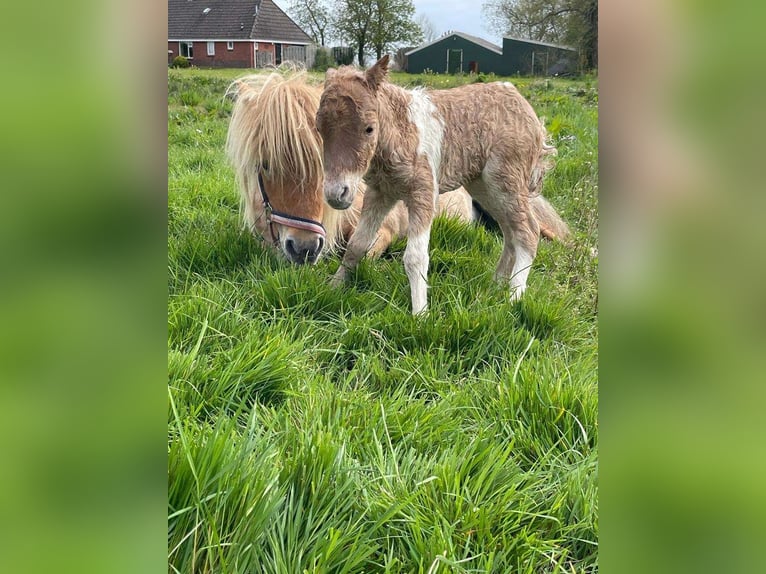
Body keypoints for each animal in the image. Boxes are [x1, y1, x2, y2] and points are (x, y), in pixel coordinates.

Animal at [316, 56, 572, 316]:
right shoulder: (380, 193)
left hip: (506, 181)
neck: (402, 131)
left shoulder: (424, 193)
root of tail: (523, 104)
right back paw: (495, 286)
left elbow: (415, 257)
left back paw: (514, 298)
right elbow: (356, 245)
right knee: (511, 232)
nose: (336, 194)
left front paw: (420, 314)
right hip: (484, 186)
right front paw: (333, 287)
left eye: (369, 128)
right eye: (319, 129)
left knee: (528, 231)